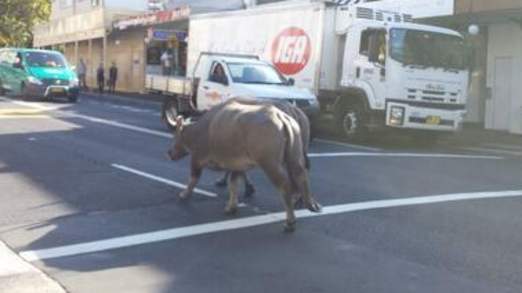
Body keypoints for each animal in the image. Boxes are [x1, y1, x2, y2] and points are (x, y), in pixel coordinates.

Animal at [169, 99, 318, 232]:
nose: (169, 153)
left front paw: (184, 194)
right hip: (294, 156)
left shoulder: (197, 158)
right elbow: (233, 183)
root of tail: (282, 117)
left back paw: (290, 222)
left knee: (285, 185)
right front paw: (232, 206)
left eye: (176, 135)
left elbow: (193, 179)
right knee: (301, 175)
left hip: (270, 164)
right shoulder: (238, 164)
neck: (202, 129)